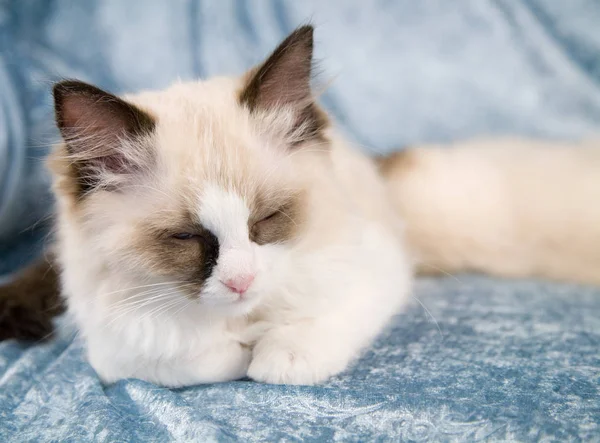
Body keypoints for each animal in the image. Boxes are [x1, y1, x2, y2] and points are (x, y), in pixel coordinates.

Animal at [1, 26, 600, 386]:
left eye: (266, 221)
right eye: (187, 238)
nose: (241, 281)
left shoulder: (374, 271)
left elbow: (297, 343)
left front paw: (268, 356)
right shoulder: (115, 337)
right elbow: (190, 356)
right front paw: (237, 351)